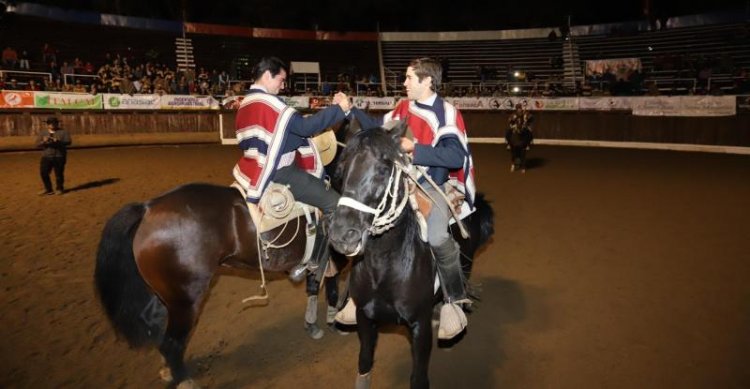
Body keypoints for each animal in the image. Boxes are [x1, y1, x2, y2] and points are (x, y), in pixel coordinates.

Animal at [93, 183, 314, 386]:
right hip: (186, 303)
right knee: (171, 343)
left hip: (164, 299)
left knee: (157, 328)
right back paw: (183, 381)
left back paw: (168, 371)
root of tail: (148, 207)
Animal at [328, 123, 494, 386]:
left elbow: (418, 378)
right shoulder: (365, 318)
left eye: (383, 170)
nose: (342, 234)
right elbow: (364, 363)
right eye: (341, 170)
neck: (384, 269)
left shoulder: (419, 326)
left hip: (465, 267)